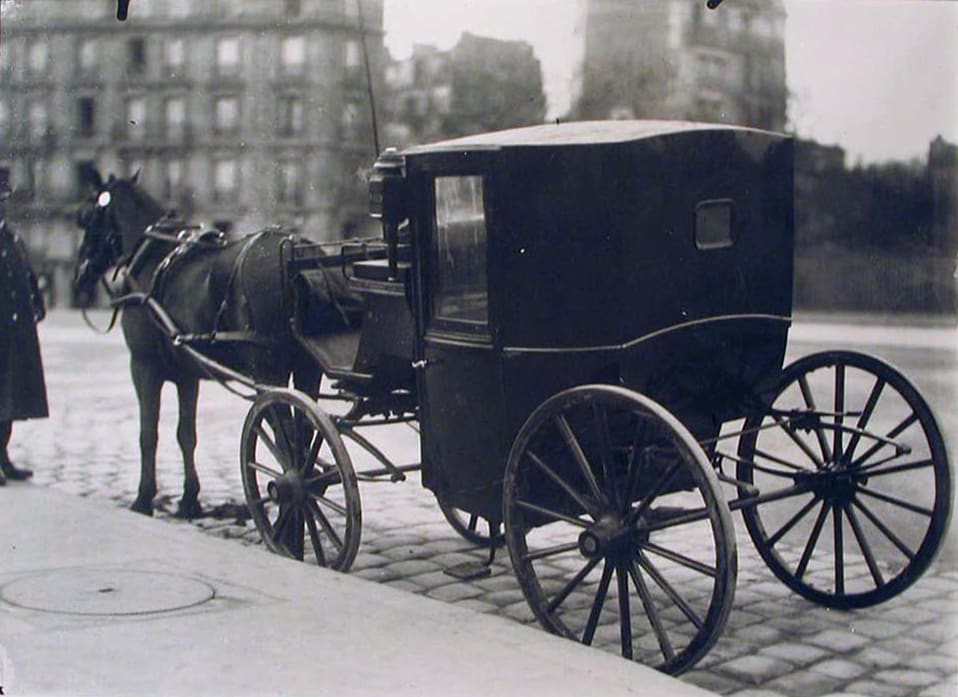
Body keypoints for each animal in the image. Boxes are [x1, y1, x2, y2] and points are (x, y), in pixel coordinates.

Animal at [74, 167, 352, 516]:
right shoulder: (186, 374)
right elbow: (186, 435)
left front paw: (143, 498)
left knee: (286, 435)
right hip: (305, 369)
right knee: (301, 431)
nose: (80, 275)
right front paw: (189, 499)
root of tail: (301, 249)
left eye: (86, 218)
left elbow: (148, 434)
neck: (153, 257)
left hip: (268, 370)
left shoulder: (143, 366)